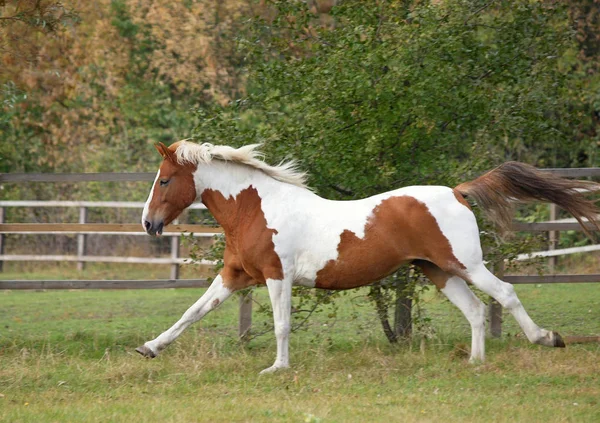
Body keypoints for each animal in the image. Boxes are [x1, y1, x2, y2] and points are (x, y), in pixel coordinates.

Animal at [136, 140, 600, 374]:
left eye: (164, 180)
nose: (148, 223)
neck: (255, 208)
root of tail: (456, 192)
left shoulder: (275, 275)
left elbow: (283, 325)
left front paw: (278, 368)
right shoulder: (235, 275)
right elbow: (192, 313)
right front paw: (149, 348)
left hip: (465, 265)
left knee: (504, 294)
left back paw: (547, 338)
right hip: (438, 271)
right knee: (476, 310)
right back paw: (475, 361)